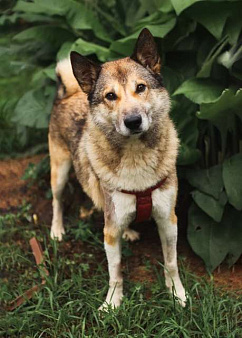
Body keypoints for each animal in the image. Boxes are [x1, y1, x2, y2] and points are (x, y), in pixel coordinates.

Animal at [48, 29, 186, 308]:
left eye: (141, 88)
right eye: (110, 96)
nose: (133, 121)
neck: (136, 156)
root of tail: (68, 93)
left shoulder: (168, 219)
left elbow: (171, 262)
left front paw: (177, 294)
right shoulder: (109, 231)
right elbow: (116, 270)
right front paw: (113, 302)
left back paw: (130, 231)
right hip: (59, 171)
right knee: (57, 200)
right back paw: (57, 229)